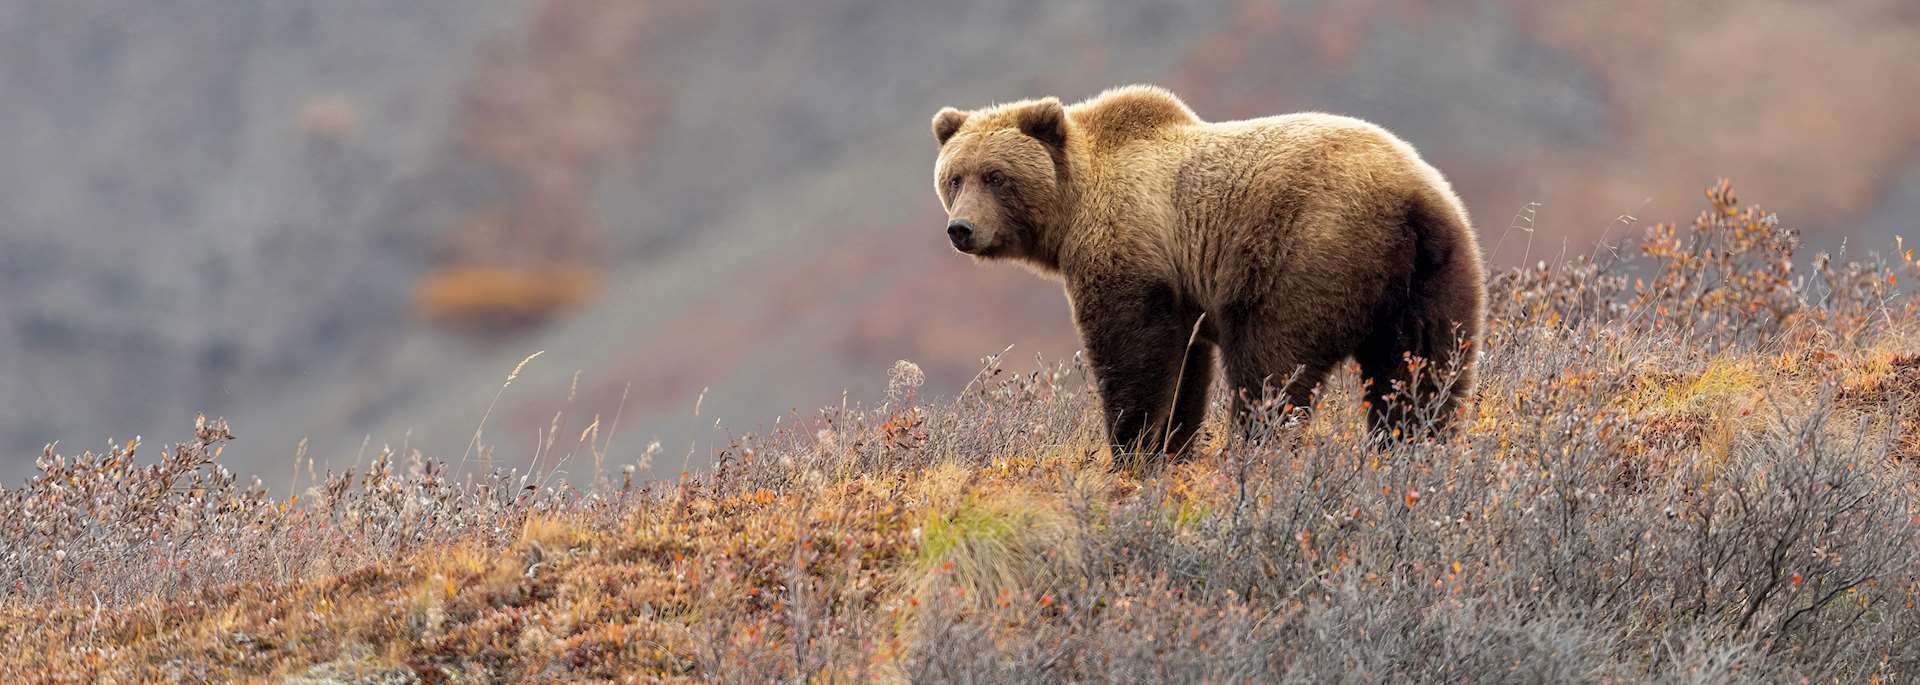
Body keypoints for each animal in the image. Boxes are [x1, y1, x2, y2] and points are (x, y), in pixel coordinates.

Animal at [929, 84, 1485, 458]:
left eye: (996, 176)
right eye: (954, 177)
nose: (961, 229)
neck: (1074, 206)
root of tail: (1409, 198)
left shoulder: (1132, 250)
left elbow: (1133, 355)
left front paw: (1132, 448)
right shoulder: (1181, 290)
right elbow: (1185, 370)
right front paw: (1171, 446)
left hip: (1306, 253)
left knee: (1270, 366)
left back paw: (1257, 449)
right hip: (1435, 275)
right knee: (1423, 371)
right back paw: (1412, 447)